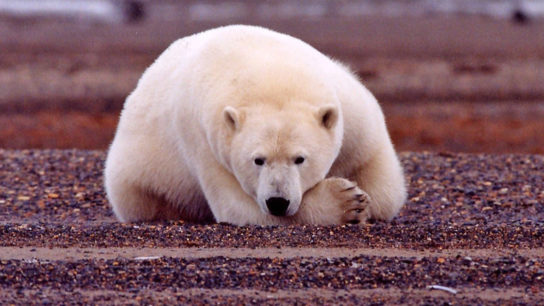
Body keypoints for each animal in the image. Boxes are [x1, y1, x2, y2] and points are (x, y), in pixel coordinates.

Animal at [104, 25, 406, 226]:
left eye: (300, 158)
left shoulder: (351, 110)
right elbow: (237, 207)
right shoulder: (205, 141)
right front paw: (347, 201)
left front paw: (363, 200)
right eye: (258, 160)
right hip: (137, 177)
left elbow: (382, 183)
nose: (278, 201)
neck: (269, 73)